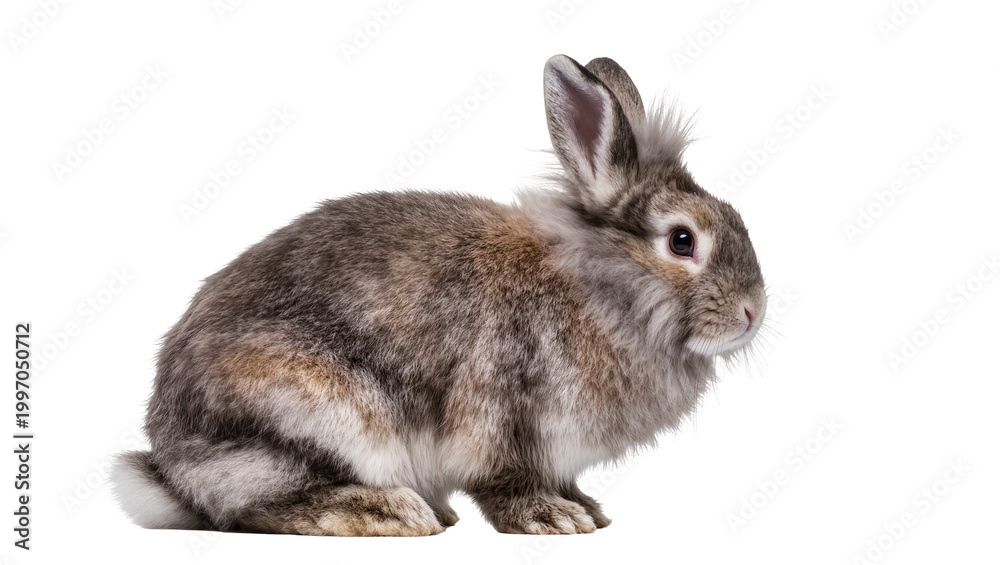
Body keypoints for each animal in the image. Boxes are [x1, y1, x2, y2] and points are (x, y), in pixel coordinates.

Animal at [111, 54, 767, 536]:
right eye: (682, 240)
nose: (752, 312)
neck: (601, 287)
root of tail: (172, 462)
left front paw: (588, 510)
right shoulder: (501, 422)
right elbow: (505, 484)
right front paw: (555, 519)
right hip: (317, 414)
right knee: (259, 505)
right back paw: (391, 512)